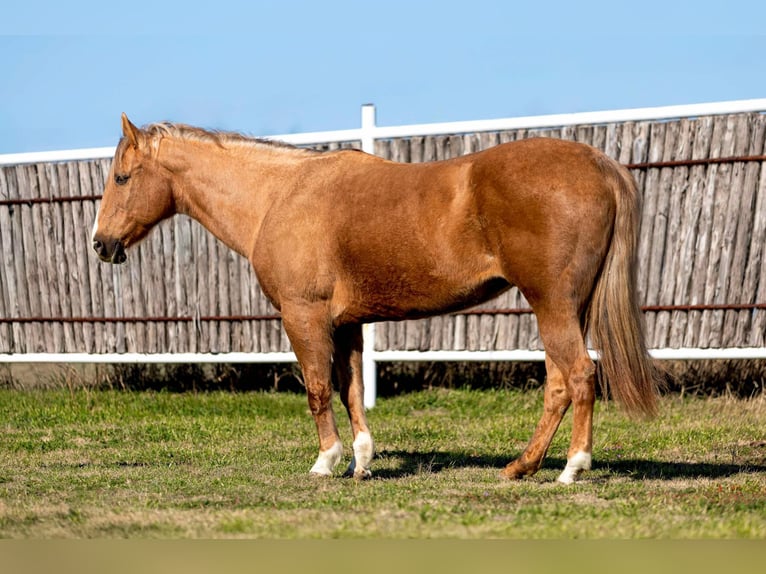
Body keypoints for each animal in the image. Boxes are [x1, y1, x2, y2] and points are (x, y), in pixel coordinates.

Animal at [92, 113, 661, 483]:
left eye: (122, 176)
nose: (101, 244)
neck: (279, 195)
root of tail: (597, 163)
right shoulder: (347, 324)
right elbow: (350, 390)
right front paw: (360, 461)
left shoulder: (304, 316)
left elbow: (318, 389)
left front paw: (325, 461)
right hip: (568, 308)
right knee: (560, 385)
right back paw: (521, 466)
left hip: (553, 304)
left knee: (580, 376)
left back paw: (572, 467)